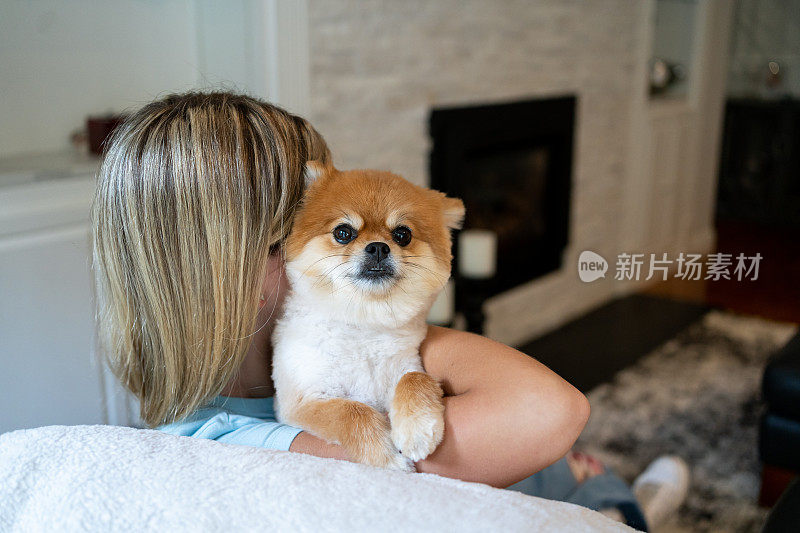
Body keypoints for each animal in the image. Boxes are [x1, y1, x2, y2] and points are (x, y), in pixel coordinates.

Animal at [274, 161, 466, 470]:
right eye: (343, 232)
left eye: (402, 234)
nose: (378, 247)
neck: (362, 325)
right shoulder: (303, 401)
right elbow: (353, 412)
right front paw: (387, 460)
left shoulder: (406, 365)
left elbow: (414, 379)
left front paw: (417, 430)